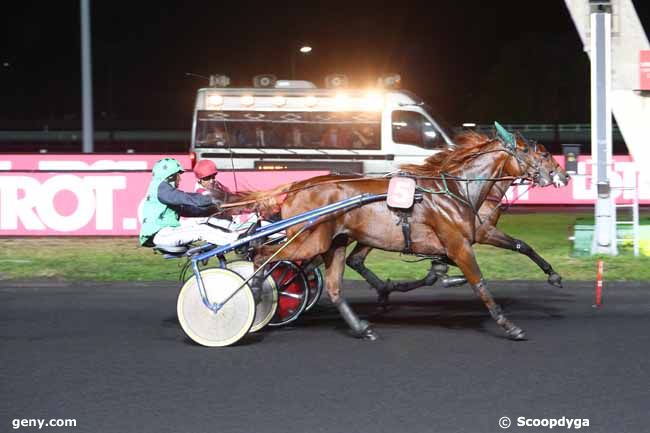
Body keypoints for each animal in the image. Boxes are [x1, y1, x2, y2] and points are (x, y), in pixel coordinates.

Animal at [344, 135, 568, 304]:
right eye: (544, 153)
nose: (564, 176)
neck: (466, 190)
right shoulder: (483, 233)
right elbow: (522, 245)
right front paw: (553, 274)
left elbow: (439, 267)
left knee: (354, 260)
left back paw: (384, 289)